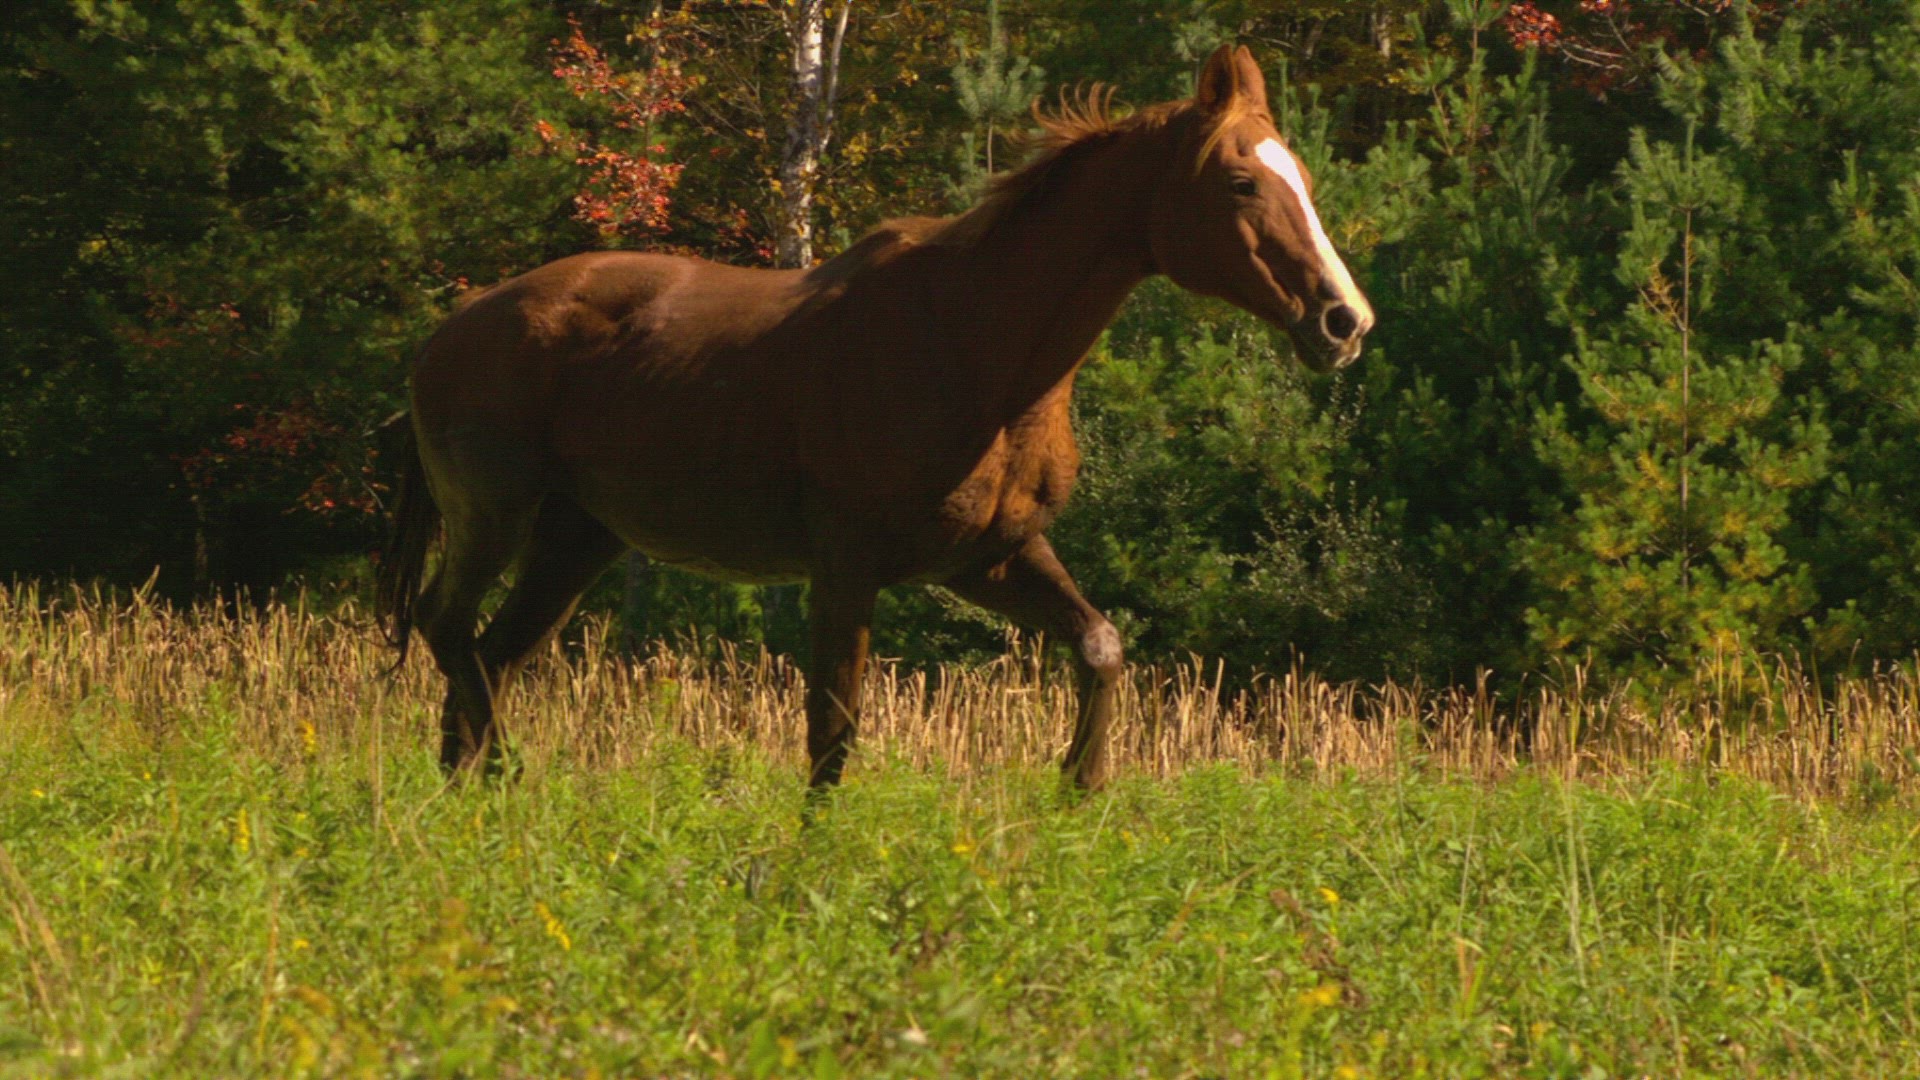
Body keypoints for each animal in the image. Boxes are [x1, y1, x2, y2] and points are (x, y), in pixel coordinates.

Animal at [377, 45, 1374, 792]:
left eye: (1301, 175)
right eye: (1241, 182)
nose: (1344, 321)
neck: (977, 346)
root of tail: (449, 328)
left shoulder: (988, 557)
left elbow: (1100, 645)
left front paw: (1079, 792)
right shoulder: (847, 567)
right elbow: (834, 734)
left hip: (577, 538)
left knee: (487, 655)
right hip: (494, 516)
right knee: (446, 627)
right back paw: (503, 777)